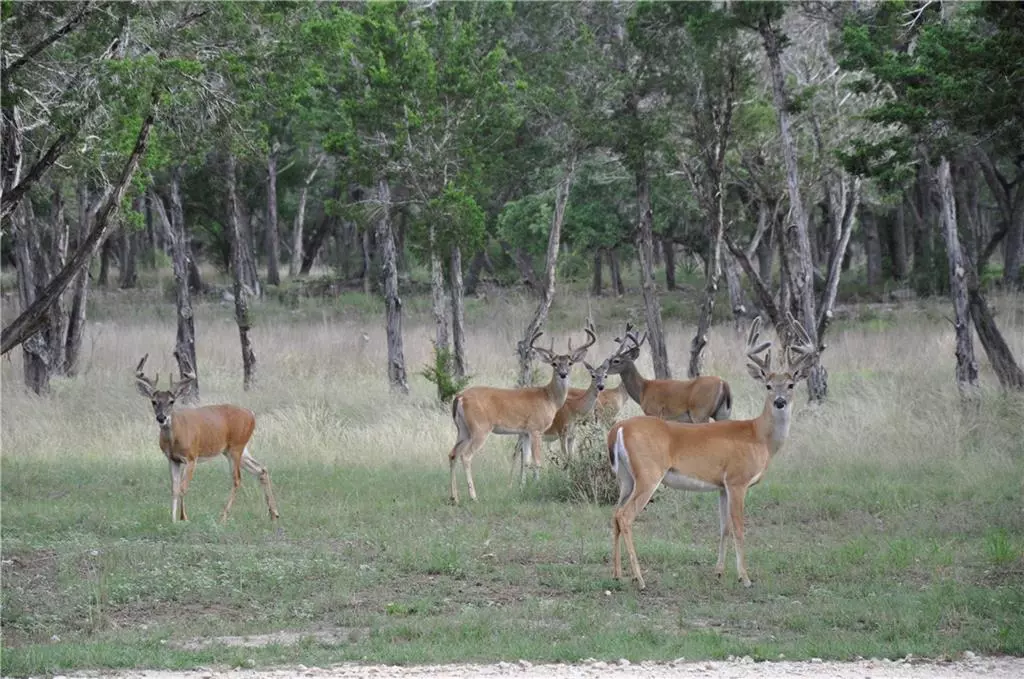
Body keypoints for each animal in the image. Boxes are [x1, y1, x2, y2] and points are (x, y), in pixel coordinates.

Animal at [136, 358, 282, 522]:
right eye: (154, 401)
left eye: (172, 401)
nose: (161, 418)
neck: (175, 438)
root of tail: (251, 414)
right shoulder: (172, 459)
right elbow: (174, 488)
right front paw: (172, 520)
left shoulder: (191, 457)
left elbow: (183, 488)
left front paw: (184, 517)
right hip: (237, 449)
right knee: (261, 469)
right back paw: (274, 513)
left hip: (236, 447)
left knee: (237, 478)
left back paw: (223, 517)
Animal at [444, 323, 598, 503]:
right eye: (554, 363)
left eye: (570, 362)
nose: (563, 374)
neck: (549, 398)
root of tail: (459, 397)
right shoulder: (536, 429)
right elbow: (537, 461)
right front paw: (538, 486)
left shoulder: (524, 432)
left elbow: (526, 461)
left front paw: (523, 489)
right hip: (479, 429)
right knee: (466, 456)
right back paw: (473, 496)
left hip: (463, 430)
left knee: (452, 454)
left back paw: (454, 497)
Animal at [602, 325, 733, 426]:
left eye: (616, 360)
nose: (604, 370)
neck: (643, 389)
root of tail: (723, 383)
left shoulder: (654, 412)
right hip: (722, 413)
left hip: (700, 412)